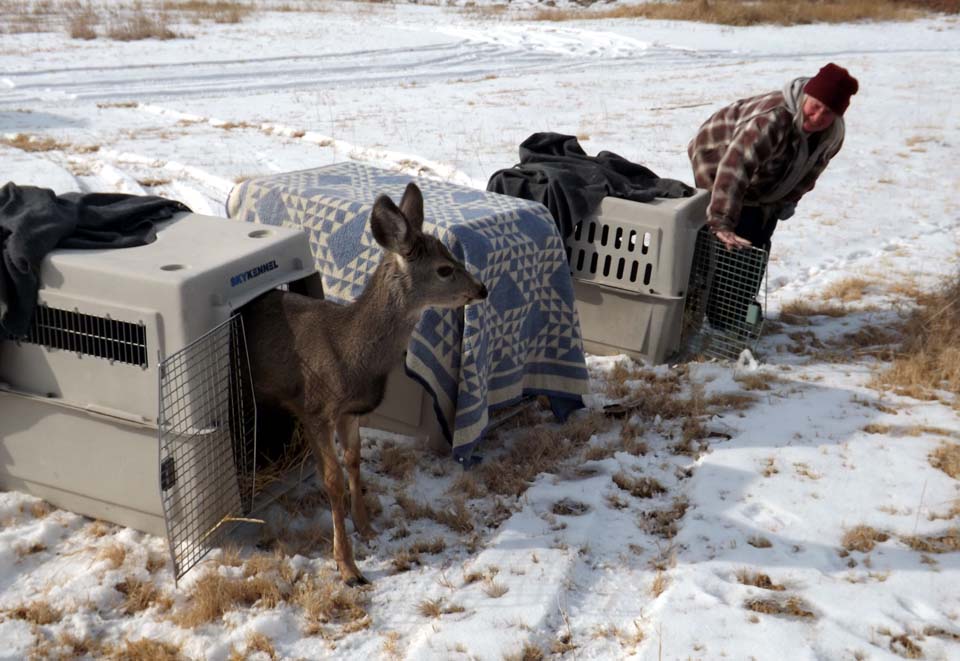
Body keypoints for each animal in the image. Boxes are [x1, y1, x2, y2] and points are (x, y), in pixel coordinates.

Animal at [241, 182, 487, 585]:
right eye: (444, 268)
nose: (483, 289)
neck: (351, 352)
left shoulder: (352, 411)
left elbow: (355, 462)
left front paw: (367, 527)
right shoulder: (315, 408)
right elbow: (332, 480)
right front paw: (348, 566)